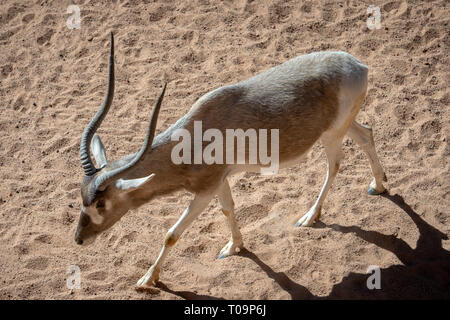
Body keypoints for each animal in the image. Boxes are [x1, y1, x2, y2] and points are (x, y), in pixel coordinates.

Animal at [74, 33, 386, 290]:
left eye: (101, 203)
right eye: (81, 196)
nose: (78, 239)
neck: (192, 138)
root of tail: (358, 66)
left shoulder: (205, 189)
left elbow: (171, 234)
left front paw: (147, 279)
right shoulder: (221, 180)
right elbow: (227, 209)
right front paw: (234, 247)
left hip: (332, 135)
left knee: (335, 164)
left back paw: (310, 216)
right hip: (340, 126)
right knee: (367, 134)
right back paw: (379, 185)